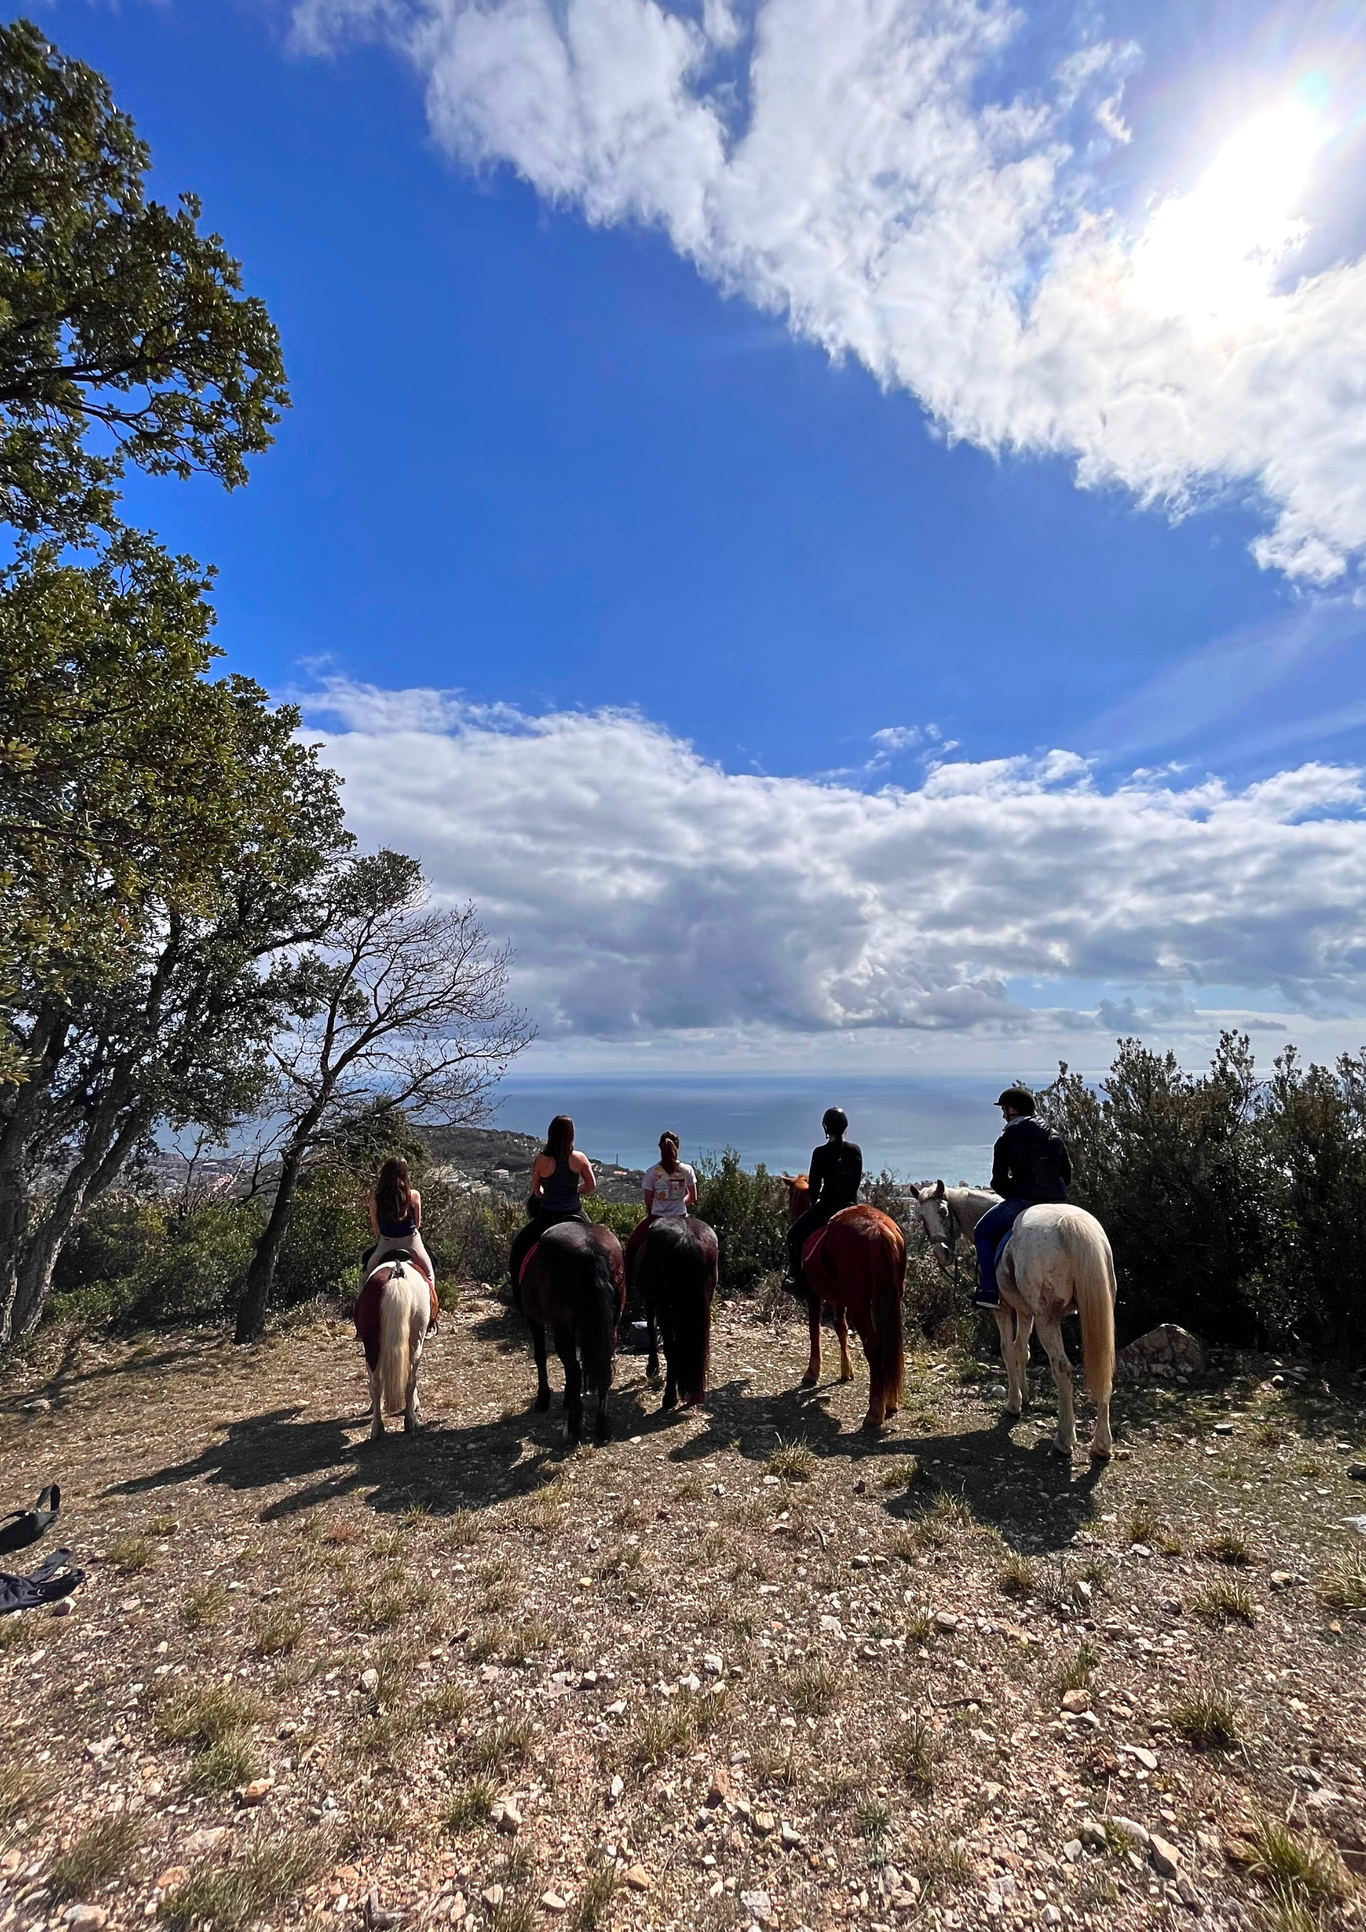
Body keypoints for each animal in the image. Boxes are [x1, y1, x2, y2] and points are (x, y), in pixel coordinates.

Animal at [352, 1254, 431, 1441]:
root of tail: (396, 1273)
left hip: (372, 1346)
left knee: (377, 1383)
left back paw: (377, 1428)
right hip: (415, 1342)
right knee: (409, 1379)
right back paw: (410, 1421)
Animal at [519, 1218, 626, 1444]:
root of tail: (590, 1249)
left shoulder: (534, 1319)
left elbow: (540, 1357)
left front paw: (543, 1399)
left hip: (562, 1323)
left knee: (574, 1369)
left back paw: (574, 1427)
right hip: (612, 1322)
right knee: (603, 1367)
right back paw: (602, 1426)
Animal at [637, 1216, 718, 1411]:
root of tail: (687, 1238)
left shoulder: (651, 1300)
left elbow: (651, 1328)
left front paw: (652, 1367)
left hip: (663, 1303)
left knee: (670, 1346)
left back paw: (669, 1397)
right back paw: (695, 1395)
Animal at [778, 1176, 906, 1432]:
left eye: (791, 1196)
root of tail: (880, 1230)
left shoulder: (813, 1292)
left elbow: (814, 1329)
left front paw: (812, 1372)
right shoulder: (839, 1298)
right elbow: (841, 1327)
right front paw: (846, 1371)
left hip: (860, 1303)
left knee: (875, 1346)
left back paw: (874, 1413)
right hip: (889, 1299)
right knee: (890, 1345)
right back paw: (890, 1402)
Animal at [907, 1182, 1116, 1459]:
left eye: (943, 1211)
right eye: (922, 1218)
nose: (942, 1253)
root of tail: (1072, 1224)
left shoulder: (1004, 1310)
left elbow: (1007, 1350)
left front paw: (1014, 1404)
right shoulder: (1025, 1312)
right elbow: (1022, 1350)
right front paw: (1025, 1396)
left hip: (1047, 1318)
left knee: (1062, 1368)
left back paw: (1064, 1439)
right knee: (1105, 1366)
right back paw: (1101, 1444)